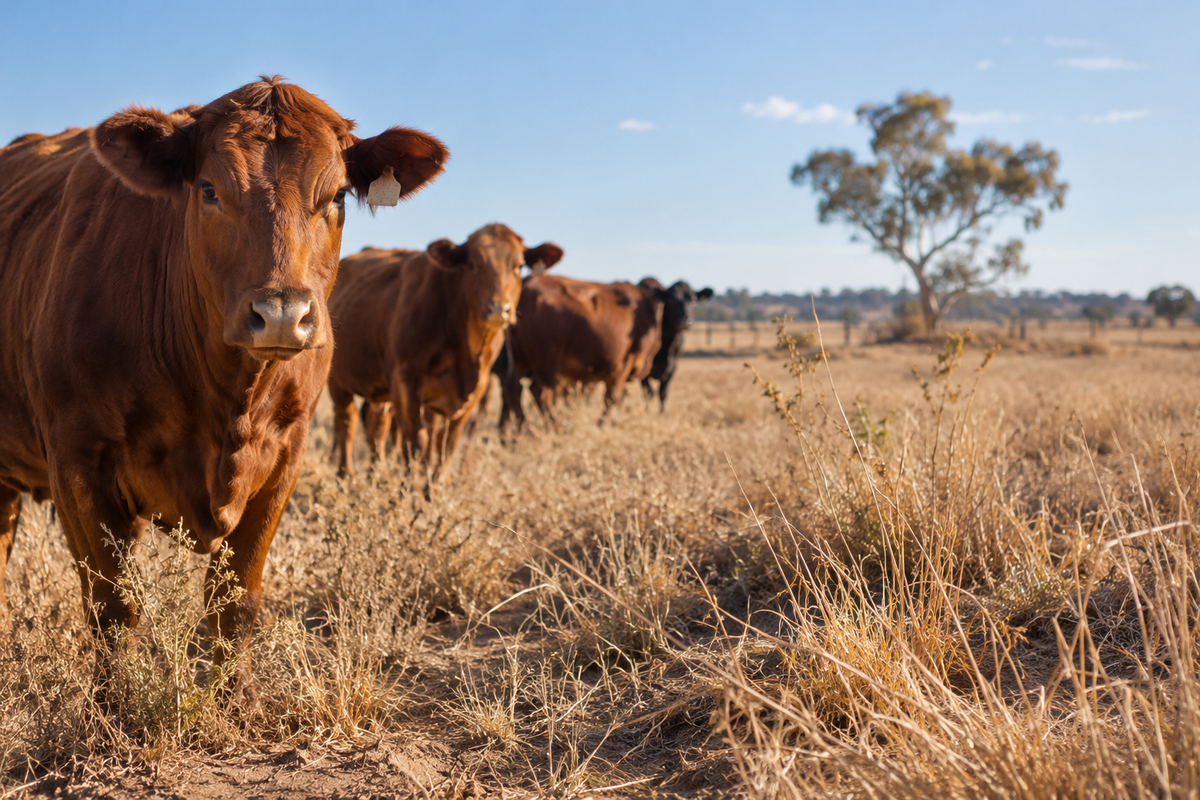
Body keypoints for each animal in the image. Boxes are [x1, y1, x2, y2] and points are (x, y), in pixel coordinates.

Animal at [0, 76, 447, 692]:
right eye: (209, 190)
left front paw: (234, 698)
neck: (225, 403)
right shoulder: (75, 458)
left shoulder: (286, 455)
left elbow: (234, 603)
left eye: (336, 197)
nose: (282, 315)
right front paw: (115, 704)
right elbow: (114, 606)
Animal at [326, 226, 563, 479]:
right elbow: (416, 443)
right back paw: (346, 475)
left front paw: (438, 486)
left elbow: (446, 445)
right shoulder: (404, 384)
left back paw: (378, 475)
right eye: (472, 264)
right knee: (346, 424)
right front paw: (413, 488)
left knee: (376, 425)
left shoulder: (474, 392)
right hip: (338, 381)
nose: (499, 309)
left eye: (518, 266)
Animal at [499, 275, 666, 431]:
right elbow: (613, 396)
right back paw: (555, 427)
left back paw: (526, 430)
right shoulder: (625, 361)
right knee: (540, 391)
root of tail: (529, 280)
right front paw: (603, 422)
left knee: (512, 387)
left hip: (520, 358)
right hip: (546, 359)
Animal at [637, 278, 714, 411]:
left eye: (693, 301)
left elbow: (663, 393)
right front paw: (646, 412)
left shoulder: (672, 367)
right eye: (672, 299)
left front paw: (662, 414)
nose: (687, 321)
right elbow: (649, 393)